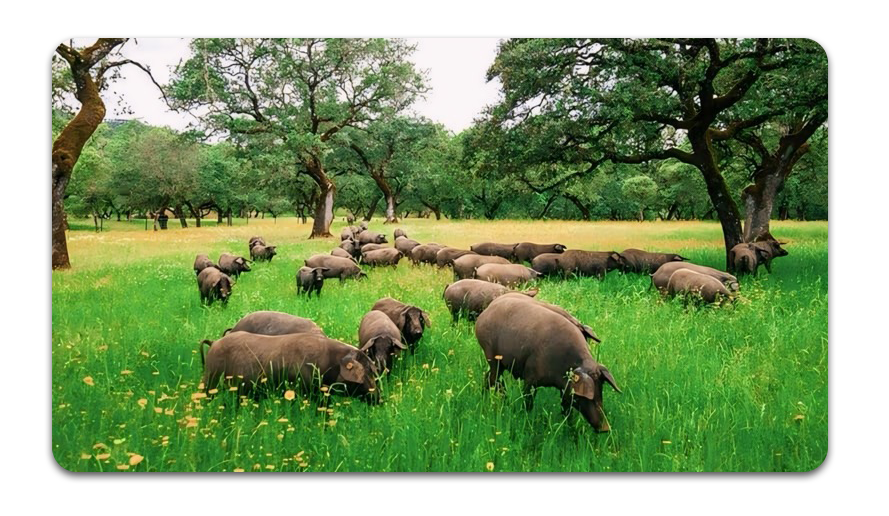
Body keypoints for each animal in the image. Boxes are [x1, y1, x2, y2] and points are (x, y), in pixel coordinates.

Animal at [476, 294, 620, 432]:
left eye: (600, 389)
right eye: (587, 396)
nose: (605, 428)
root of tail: (486, 312)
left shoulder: (565, 388)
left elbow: (567, 411)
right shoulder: (530, 377)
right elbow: (528, 402)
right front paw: (525, 421)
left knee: (488, 377)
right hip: (491, 354)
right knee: (495, 379)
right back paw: (503, 403)